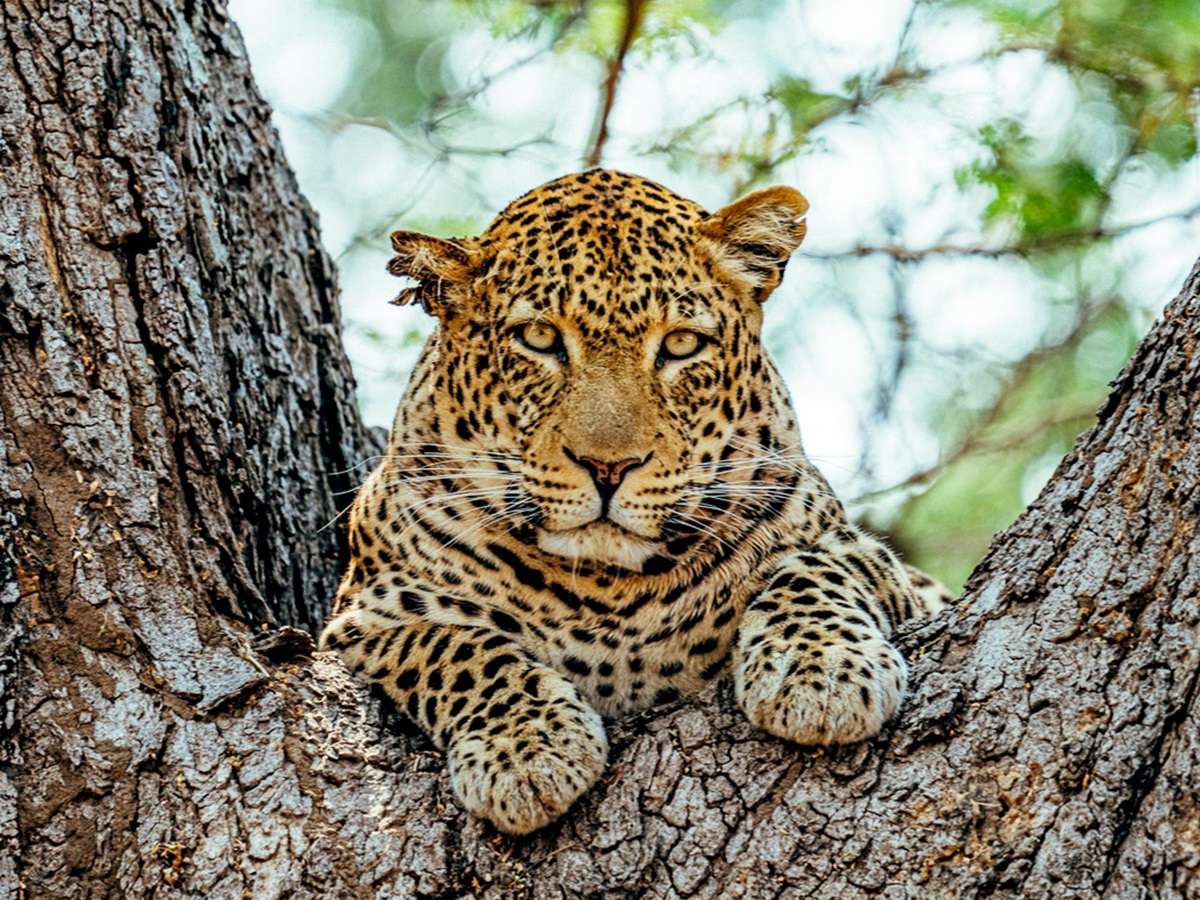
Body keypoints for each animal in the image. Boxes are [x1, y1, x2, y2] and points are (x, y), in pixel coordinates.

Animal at [320, 169, 951, 835]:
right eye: (539, 337)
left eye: (681, 345)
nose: (608, 467)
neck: (608, 589)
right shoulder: (363, 617)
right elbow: (456, 646)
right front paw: (525, 750)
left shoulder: (870, 561)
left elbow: (817, 566)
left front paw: (821, 671)